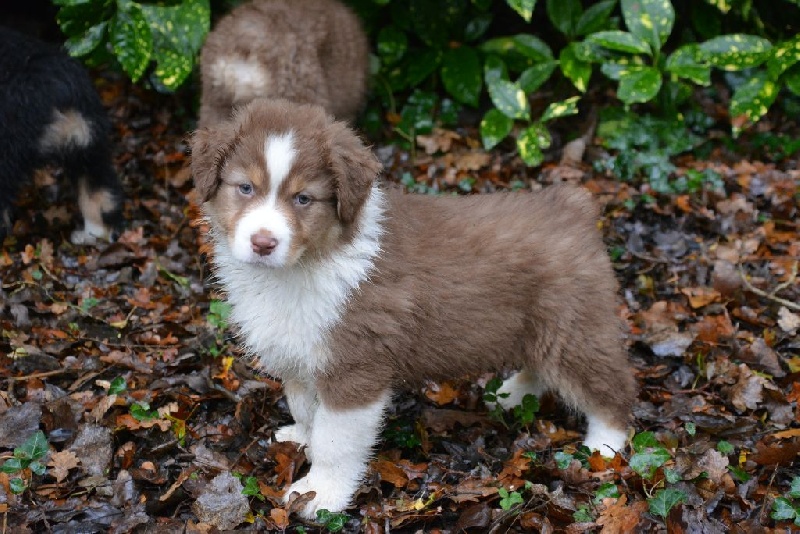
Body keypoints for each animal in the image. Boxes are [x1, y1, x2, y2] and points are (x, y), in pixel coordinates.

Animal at [190, 99, 637, 519]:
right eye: (245, 188)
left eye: (303, 199)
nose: (263, 243)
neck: (306, 264)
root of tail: (573, 206)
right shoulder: (299, 352)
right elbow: (304, 408)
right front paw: (301, 439)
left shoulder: (356, 366)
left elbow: (336, 441)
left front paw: (320, 494)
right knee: (539, 367)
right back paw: (511, 395)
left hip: (572, 327)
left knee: (613, 389)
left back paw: (604, 447)